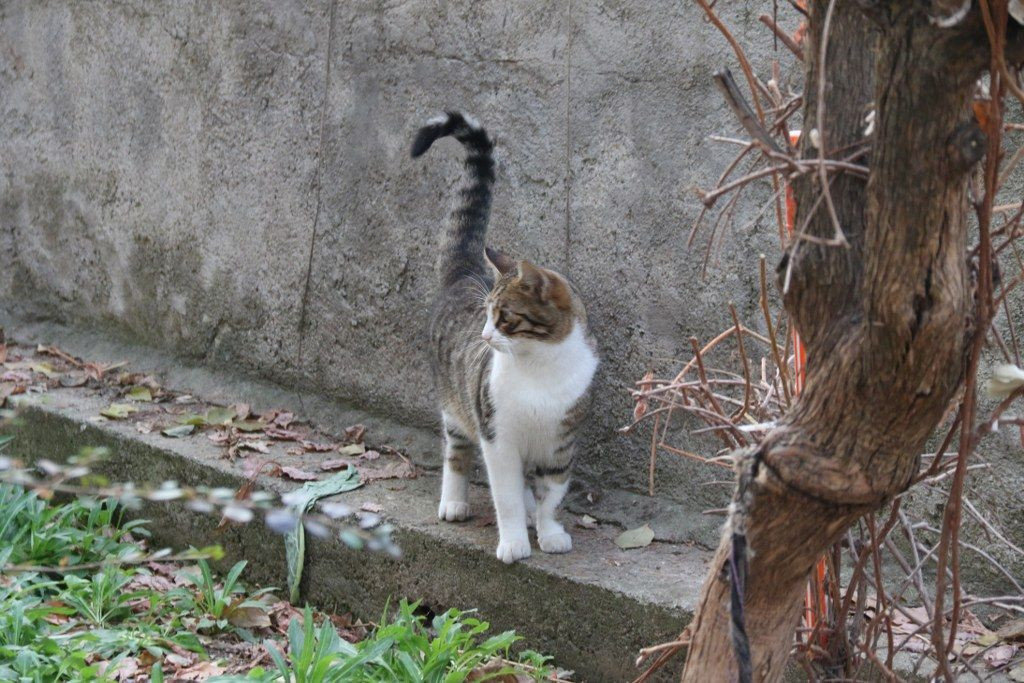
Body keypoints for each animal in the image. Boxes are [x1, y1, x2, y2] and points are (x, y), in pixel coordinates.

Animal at [409, 109, 598, 565]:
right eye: (486, 315)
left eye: (504, 317)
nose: (483, 334)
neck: (541, 367)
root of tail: (464, 273)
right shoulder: (497, 436)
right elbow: (506, 496)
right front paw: (513, 543)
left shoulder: (560, 444)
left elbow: (552, 496)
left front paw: (549, 532)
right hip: (456, 404)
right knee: (456, 450)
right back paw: (454, 501)